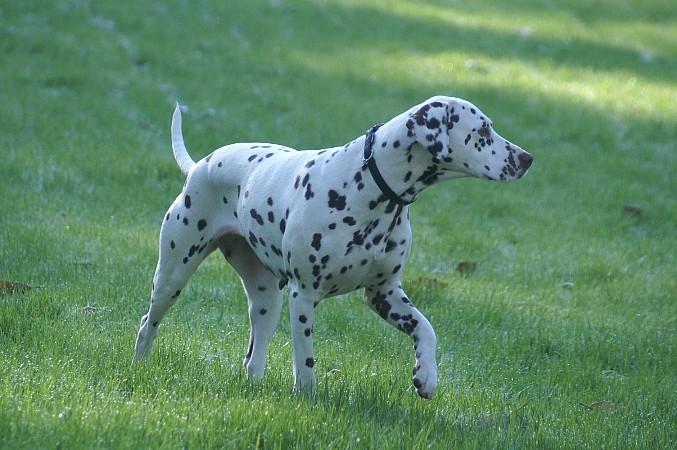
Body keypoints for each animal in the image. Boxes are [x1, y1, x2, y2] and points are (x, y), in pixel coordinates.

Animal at [133, 95, 532, 398]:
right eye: (482, 130)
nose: (527, 158)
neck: (367, 186)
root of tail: (199, 166)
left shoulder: (385, 293)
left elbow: (426, 329)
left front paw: (426, 376)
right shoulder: (304, 297)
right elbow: (306, 361)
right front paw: (307, 397)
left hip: (267, 299)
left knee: (254, 356)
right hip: (173, 275)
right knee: (147, 323)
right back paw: (139, 365)